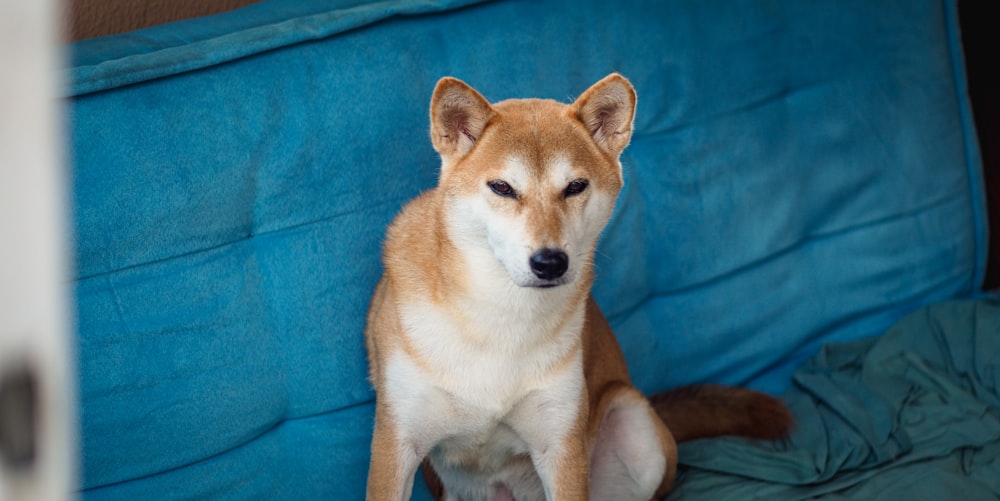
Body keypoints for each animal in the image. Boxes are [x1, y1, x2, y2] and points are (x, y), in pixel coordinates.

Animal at [364, 71, 792, 500]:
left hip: (632, 418)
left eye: (575, 186)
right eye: (501, 187)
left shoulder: (561, 447)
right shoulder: (396, 445)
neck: (501, 314)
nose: (550, 262)